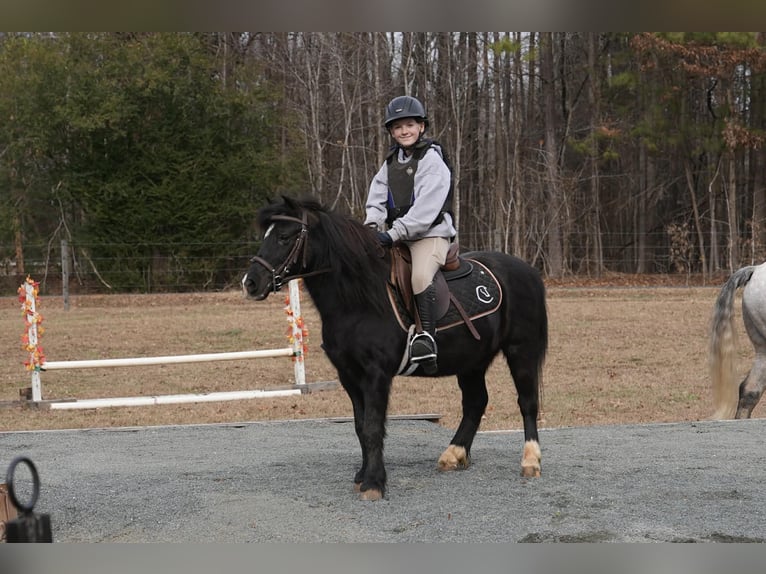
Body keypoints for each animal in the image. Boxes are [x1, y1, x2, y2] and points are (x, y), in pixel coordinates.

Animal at [242, 196, 548, 500]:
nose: (251, 283)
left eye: (284, 237)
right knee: (475, 402)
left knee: (527, 402)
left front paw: (374, 483)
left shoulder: (376, 374)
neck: (358, 300)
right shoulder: (349, 375)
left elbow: (373, 426)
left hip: (521, 351)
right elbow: (360, 426)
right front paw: (363, 476)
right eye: (265, 235)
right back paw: (453, 454)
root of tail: (527, 270)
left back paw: (530, 461)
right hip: (472, 361)